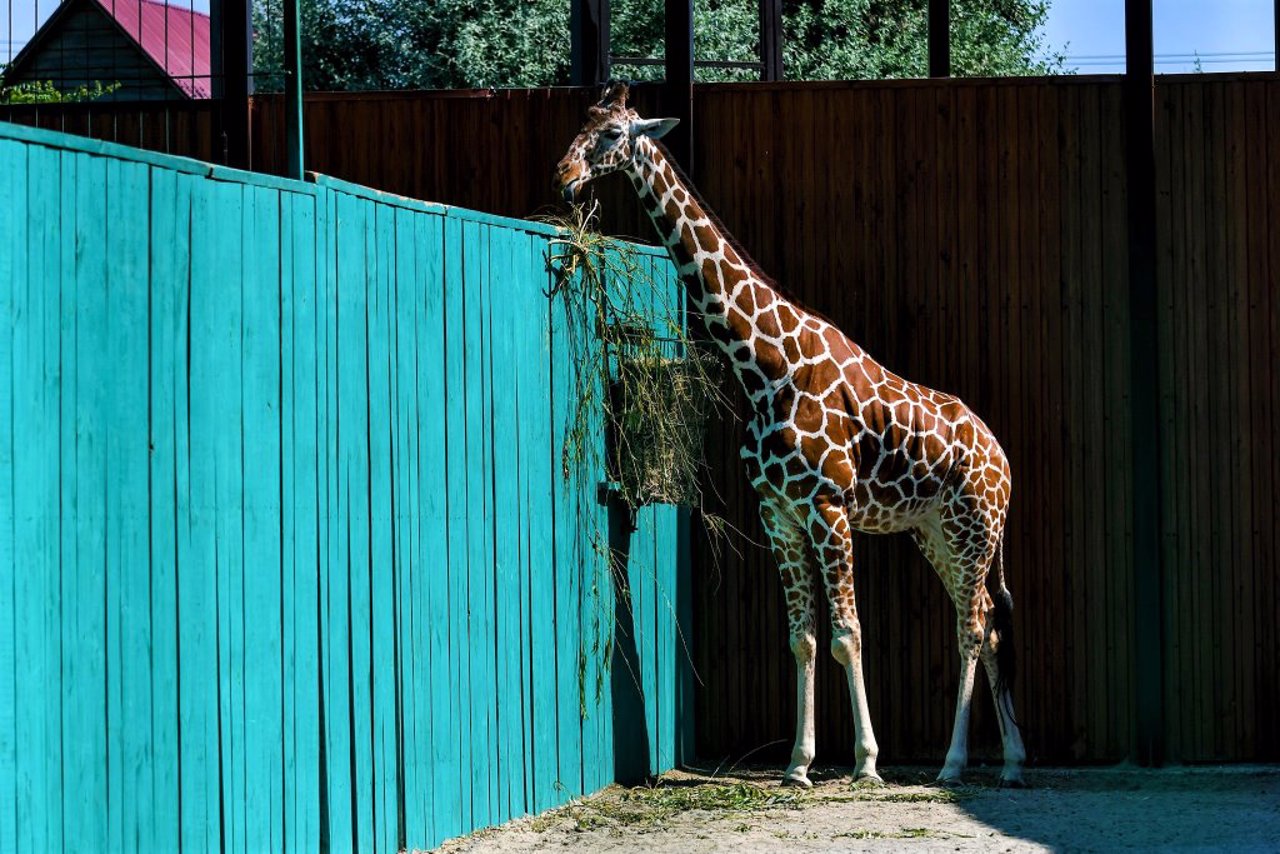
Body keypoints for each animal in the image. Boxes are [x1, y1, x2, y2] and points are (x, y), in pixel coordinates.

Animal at [555, 80, 1024, 788]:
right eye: (581, 120)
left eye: (612, 134)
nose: (563, 175)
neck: (766, 366)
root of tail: (1003, 458)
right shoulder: (777, 511)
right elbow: (802, 637)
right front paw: (798, 764)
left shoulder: (829, 507)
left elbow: (847, 634)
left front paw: (865, 761)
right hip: (935, 533)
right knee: (990, 627)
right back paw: (1014, 762)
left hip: (973, 528)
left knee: (971, 631)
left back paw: (953, 763)